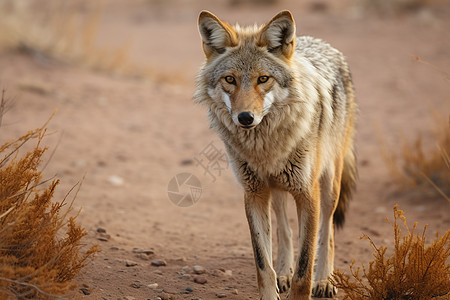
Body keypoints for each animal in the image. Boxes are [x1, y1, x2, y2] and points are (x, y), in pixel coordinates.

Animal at [195, 10, 356, 298]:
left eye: (263, 79)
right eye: (230, 79)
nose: (245, 118)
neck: (266, 148)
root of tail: (322, 43)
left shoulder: (308, 194)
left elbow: (304, 270)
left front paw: (307, 281)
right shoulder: (254, 193)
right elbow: (263, 264)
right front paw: (276, 280)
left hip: (329, 187)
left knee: (327, 232)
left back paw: (325, 280)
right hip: (278, 189)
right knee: (285, 229)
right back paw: (284, 272)